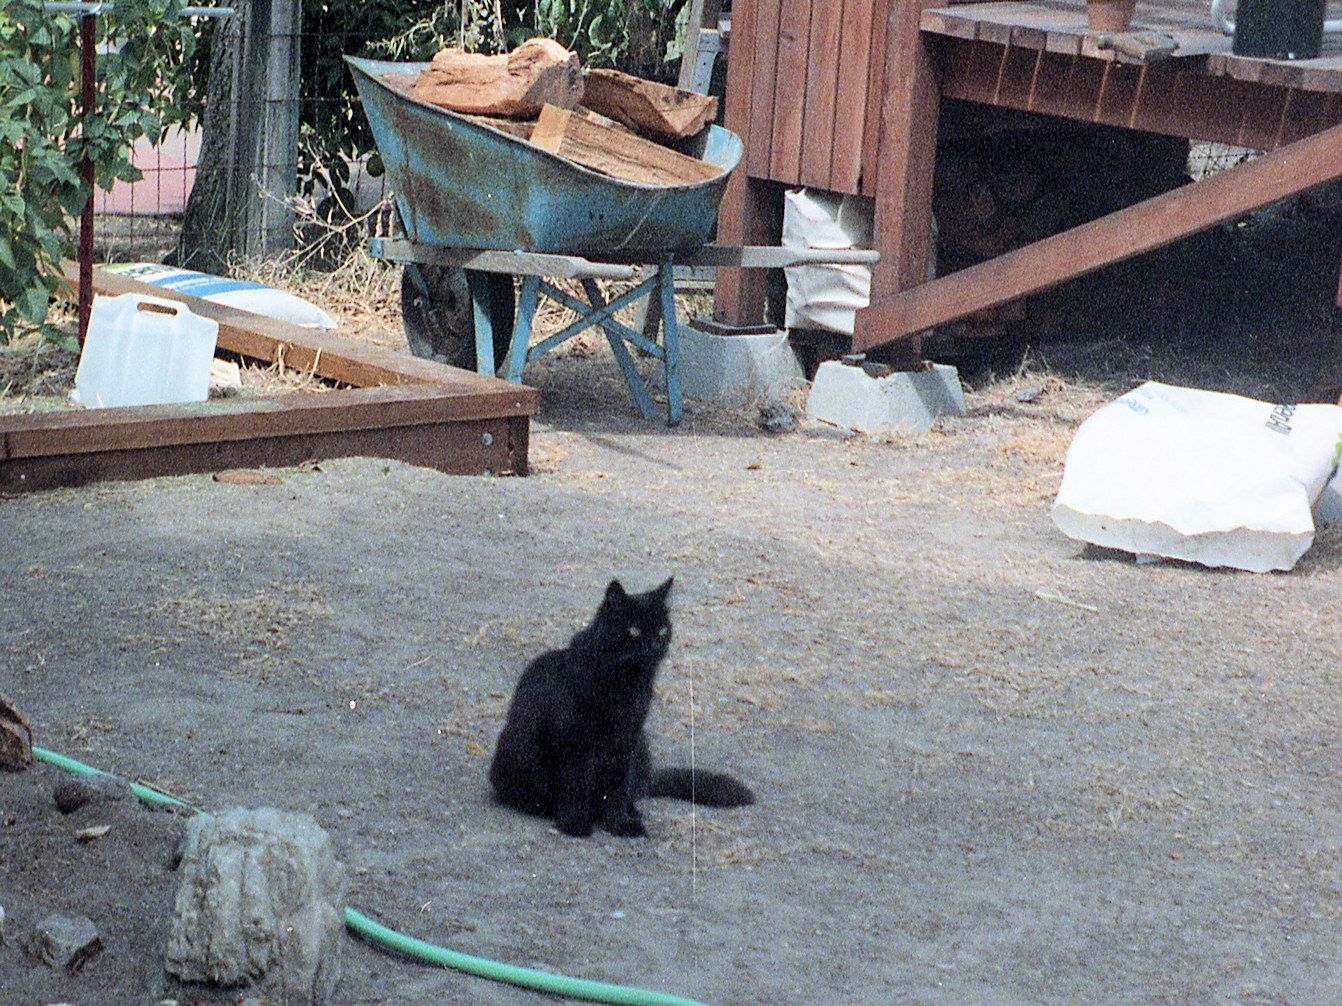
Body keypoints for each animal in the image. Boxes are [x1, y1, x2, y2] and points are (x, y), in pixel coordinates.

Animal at [488, 579, 756, 836]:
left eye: (662, 629)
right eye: (634, 630)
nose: (655, 645)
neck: (626, 684)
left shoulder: (626, 742)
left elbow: (617, 789)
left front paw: (620, 824)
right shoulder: (571, 742)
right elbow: (574, 785)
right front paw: (575, 823)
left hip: (641, 749)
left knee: (630, 793)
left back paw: (631, 812)